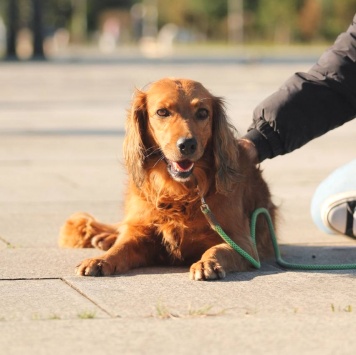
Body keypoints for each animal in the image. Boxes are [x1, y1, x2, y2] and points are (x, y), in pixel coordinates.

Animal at [59, 78, 276, 280]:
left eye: (203, 113)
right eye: (162, 112)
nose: (187, 144)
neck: (180, 192)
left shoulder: (244, 244)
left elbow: (218, 249)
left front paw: (207, 263)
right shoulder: (143, 235)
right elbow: (122, 247)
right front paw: (101, 259)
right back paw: (105, 238)